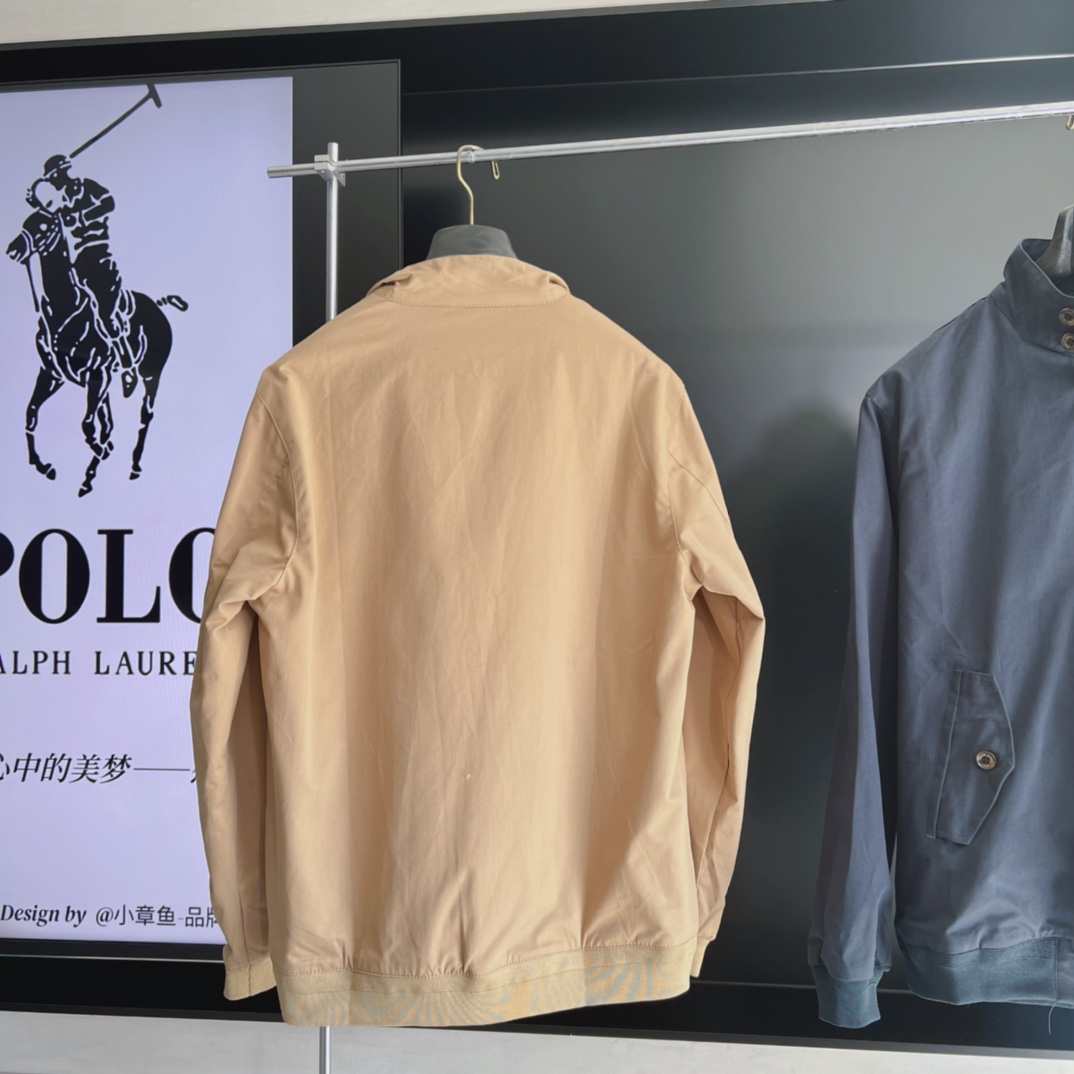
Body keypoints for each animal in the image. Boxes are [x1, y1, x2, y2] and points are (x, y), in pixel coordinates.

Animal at [11, 202, 186, 496]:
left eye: (44, 225)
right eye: (26, 221)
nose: (12, 250)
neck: (64, 310)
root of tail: (158, 306)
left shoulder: (97, 375)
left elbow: (88, 427)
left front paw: (99, 455)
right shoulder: (52, 373)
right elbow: (31, 414)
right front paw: (43, 466)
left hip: (151, 376)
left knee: (144, 416)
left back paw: (131, 466)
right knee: (108, 421)